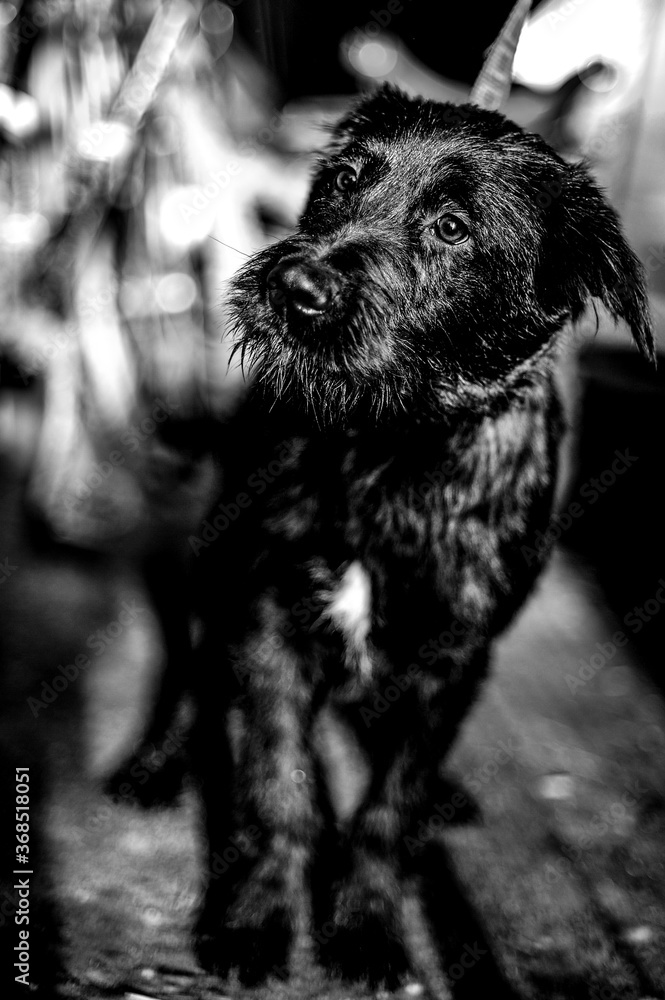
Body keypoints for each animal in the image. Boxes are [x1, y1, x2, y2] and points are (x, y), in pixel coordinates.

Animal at [183, 80, 652, 992]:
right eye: (344, 179)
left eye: (452, 228)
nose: (295, 286)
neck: (396, 448)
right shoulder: (269, 613)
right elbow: (278, 783)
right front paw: (258, 916)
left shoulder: (451, 659)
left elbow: (387, 807)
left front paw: (368, 925)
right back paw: (152, 764)